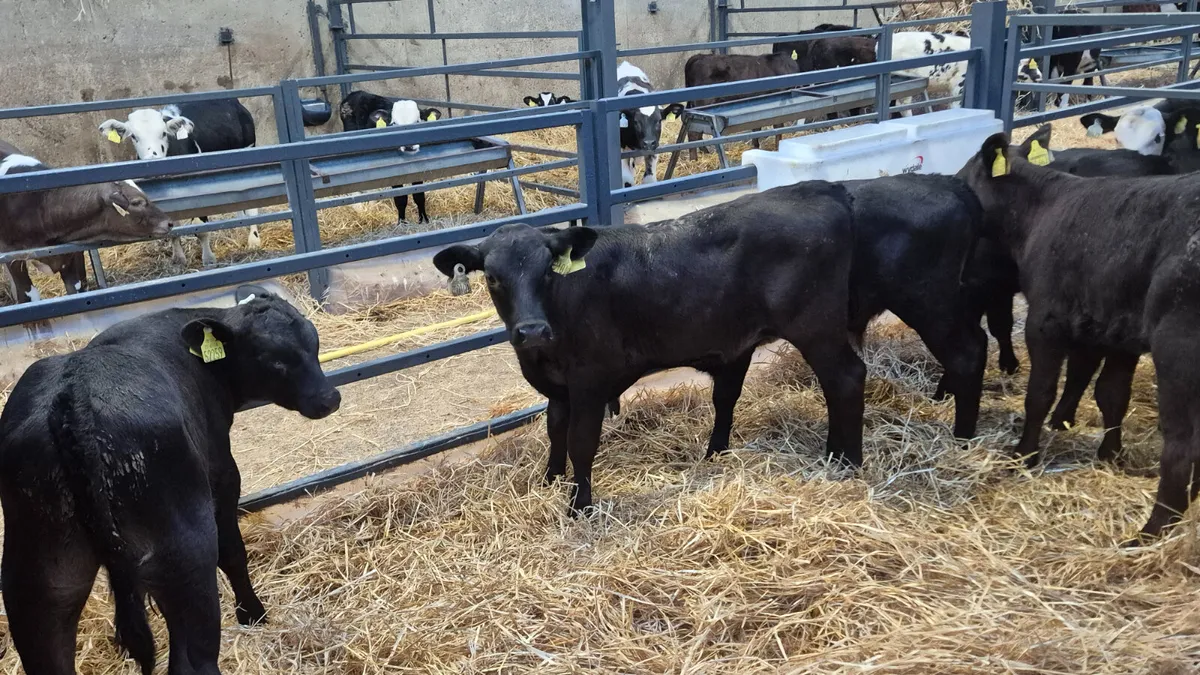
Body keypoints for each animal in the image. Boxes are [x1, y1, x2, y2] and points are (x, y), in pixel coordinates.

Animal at [0, 285, 341, 675]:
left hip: (40, 580)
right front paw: (252, 613)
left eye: (314, 342)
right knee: (192, 659)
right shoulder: (222, 479)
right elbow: (234, 553)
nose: (330, 398)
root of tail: (73, 395)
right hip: (187, 557)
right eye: (276, 361)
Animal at [100, 99, 259, 268]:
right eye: (134, 137)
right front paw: (178, 259)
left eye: (163, 133)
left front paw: (208, 259)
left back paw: (254, 240)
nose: (152, 159)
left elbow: (201, 230)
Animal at [339, 90, 444, 224]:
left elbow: (419, 196)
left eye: (417, 122)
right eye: (394, 124)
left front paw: (424, 220)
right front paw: (401, 222)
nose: (409, 145)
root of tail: (355, 93)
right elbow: (400, 198)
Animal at [432, 182, 865, 514]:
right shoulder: (557, 387)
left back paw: (846, 460)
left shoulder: (590, 380)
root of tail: (821, 188)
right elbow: (554, 430)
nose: (533, 330)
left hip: (816, 327)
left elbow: (580, 442)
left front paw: (579, 507)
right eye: (492, 277)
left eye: (547, 271)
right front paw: (549, 480)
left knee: (847, 378)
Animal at [957, 126, 1200, 544]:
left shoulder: (1045, 322)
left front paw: (1024, 453)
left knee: (1183, 443)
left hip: (1179, 349)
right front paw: (1110, 454)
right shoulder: (1118, 331)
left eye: (963, 177)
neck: (1040, 210)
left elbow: (1040, 394)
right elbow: (1111, 394)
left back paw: (1151, 530)